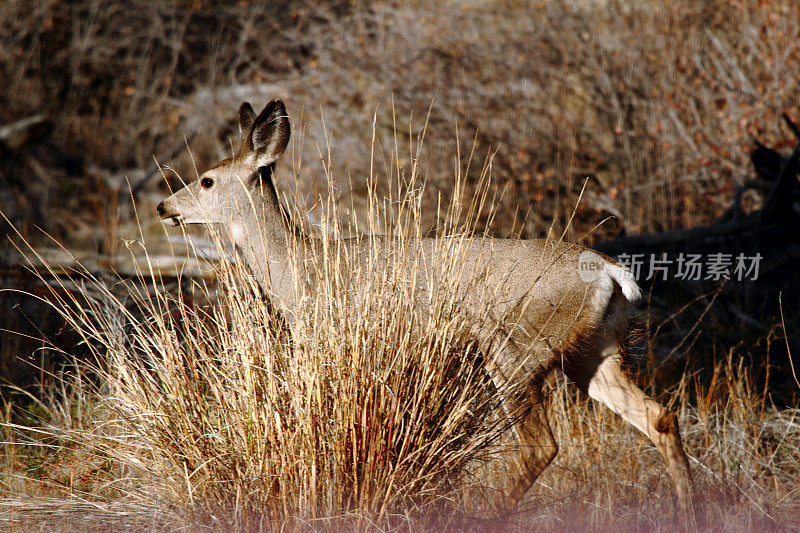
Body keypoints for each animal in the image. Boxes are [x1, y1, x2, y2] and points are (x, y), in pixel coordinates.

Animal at [158, 97, 692, 512]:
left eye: (206, 180)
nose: (165, 207)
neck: (301, 268)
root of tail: (608, 270)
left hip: (514, 346)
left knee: (540, 446)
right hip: (593, 350)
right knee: (658, 416)